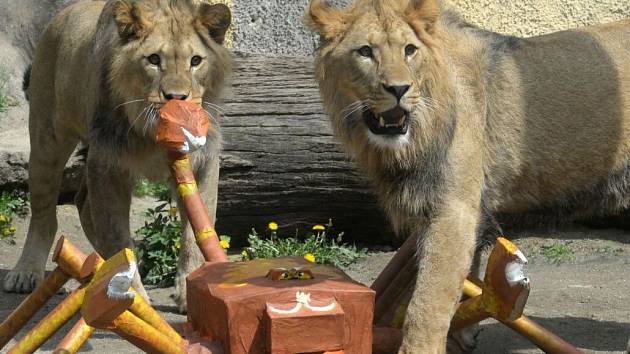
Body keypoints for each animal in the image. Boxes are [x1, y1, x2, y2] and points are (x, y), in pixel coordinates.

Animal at [1, 0, 233, 312]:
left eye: (196, 61)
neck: (149, 132)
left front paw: (190, 290)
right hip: (46, 140)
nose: (176, 97)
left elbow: (195, 232)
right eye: (153, 59)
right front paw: (134, 298)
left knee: (83, 201)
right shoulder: (109, 164)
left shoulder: (202, 162)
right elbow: (118, 237)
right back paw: (26, 272)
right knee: (44, 213)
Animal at [304, 0, 628, 352]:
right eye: (365, 51)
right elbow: (463, 279)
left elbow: (428, 300)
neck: (410, 140)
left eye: (409, 50)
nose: (399, 89)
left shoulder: (454, 209)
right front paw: (462, 334)